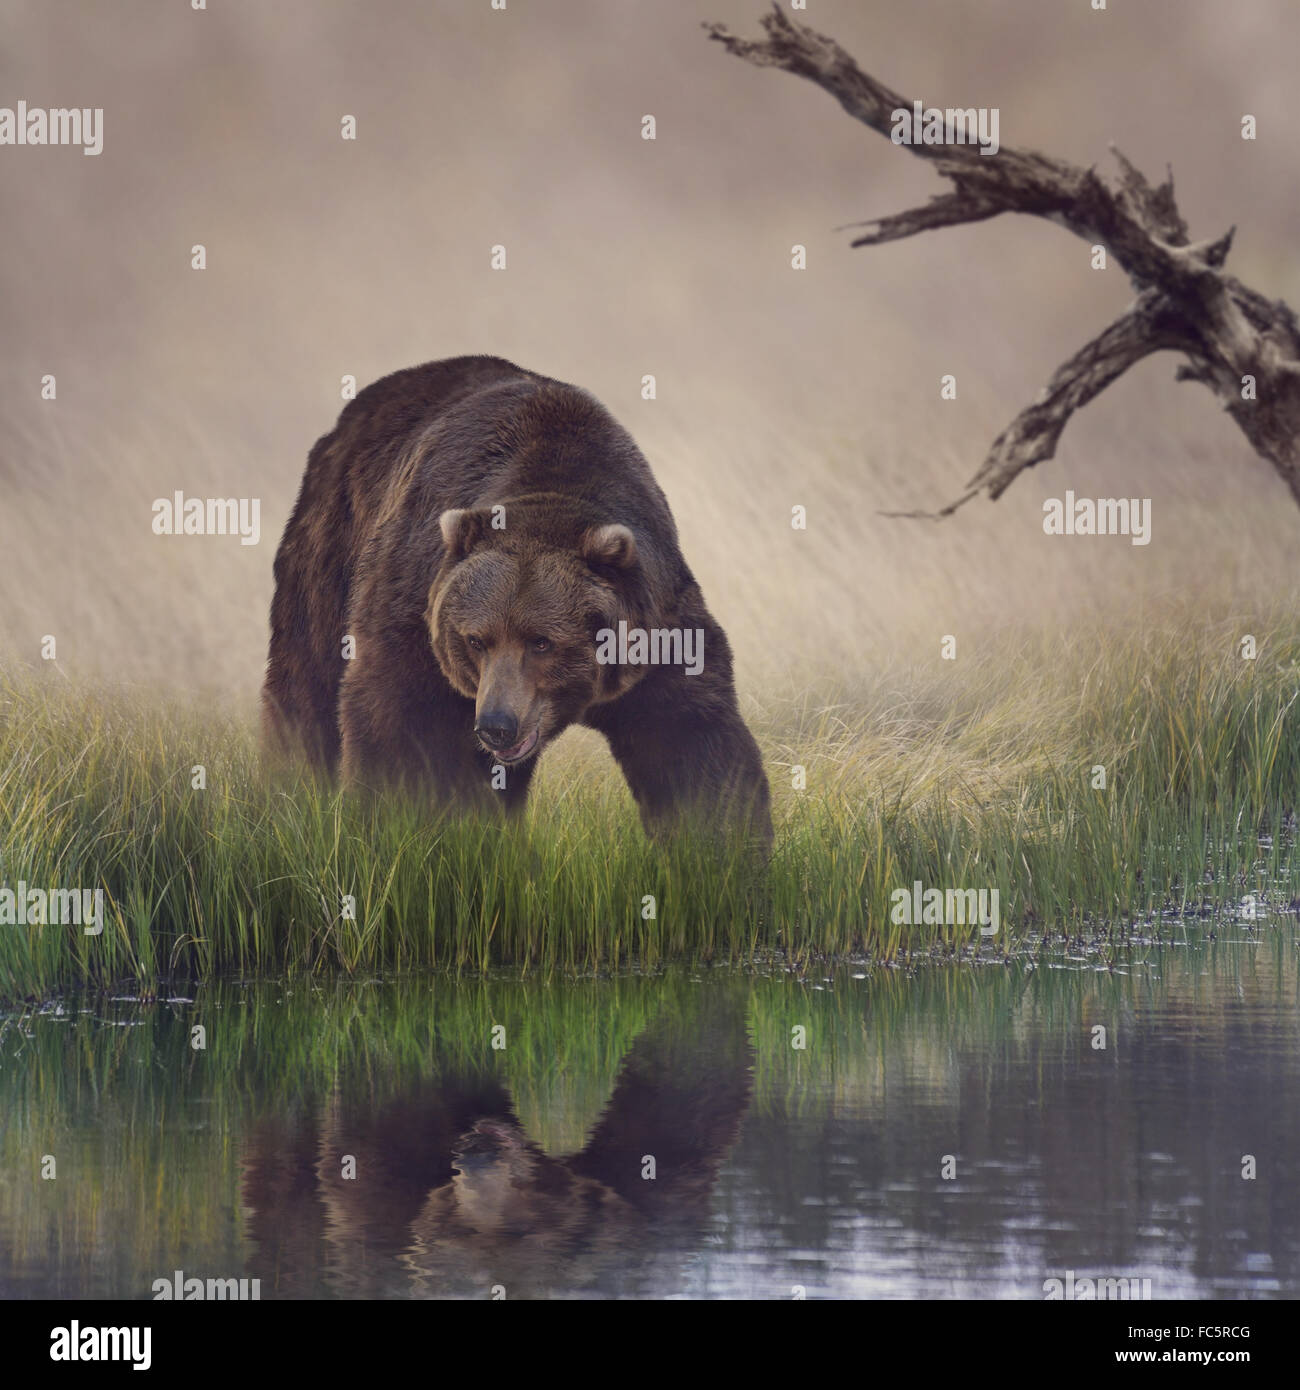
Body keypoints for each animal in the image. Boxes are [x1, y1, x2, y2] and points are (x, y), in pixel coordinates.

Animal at [261, 355, 772, 845]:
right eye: (475, 640)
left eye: (542, 641)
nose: (496, 724)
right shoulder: (414, 607)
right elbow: (397, 725)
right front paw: (395, 827)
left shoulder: (657, 631)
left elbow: (692, 741)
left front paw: (717, 851)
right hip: (331, 546)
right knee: (306, 684)